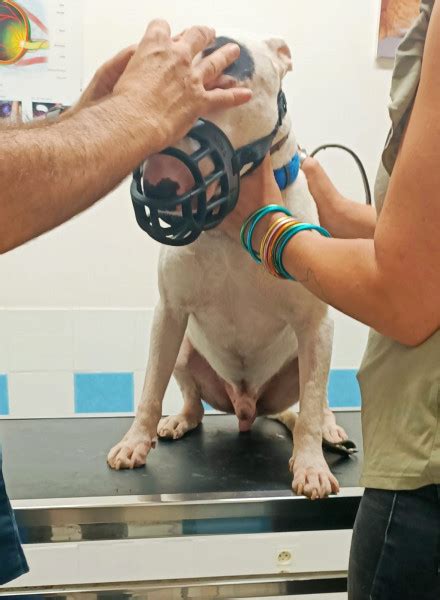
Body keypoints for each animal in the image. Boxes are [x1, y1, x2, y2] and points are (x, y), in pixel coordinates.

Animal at [107, 34, 348, 502]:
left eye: (229, 59)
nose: (160, 182)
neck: (229, 227)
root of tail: (246, 406)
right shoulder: (169, 313)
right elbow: (149, 389)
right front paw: (134, 441)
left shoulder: (315, 322)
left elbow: (310, 407)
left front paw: (310, 465)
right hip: (184, 349)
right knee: (193, 401)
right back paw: (180, 419)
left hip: (314, 351)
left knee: (318, 398)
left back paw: (328, 430)